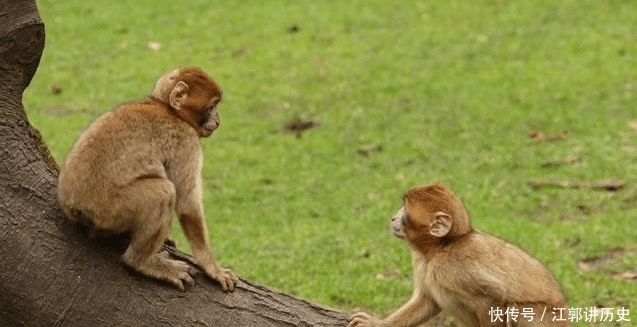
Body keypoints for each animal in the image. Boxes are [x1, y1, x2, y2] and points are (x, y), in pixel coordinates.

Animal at [57, 66, 238, 292]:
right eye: (212, 106)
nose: (218, 120)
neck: (168, 108)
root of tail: (72, 206)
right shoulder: (187, 140)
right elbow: (187, 202)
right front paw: (212, 268)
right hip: (109, 209)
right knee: (164, 192)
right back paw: (140, 261)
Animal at [350, 183, 568, 326]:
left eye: (404, 211)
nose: (393, 218)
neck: (442, 246)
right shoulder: (421, 260)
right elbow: (427, 301)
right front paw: (378, 324)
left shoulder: (453, 264)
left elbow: (495, 295)